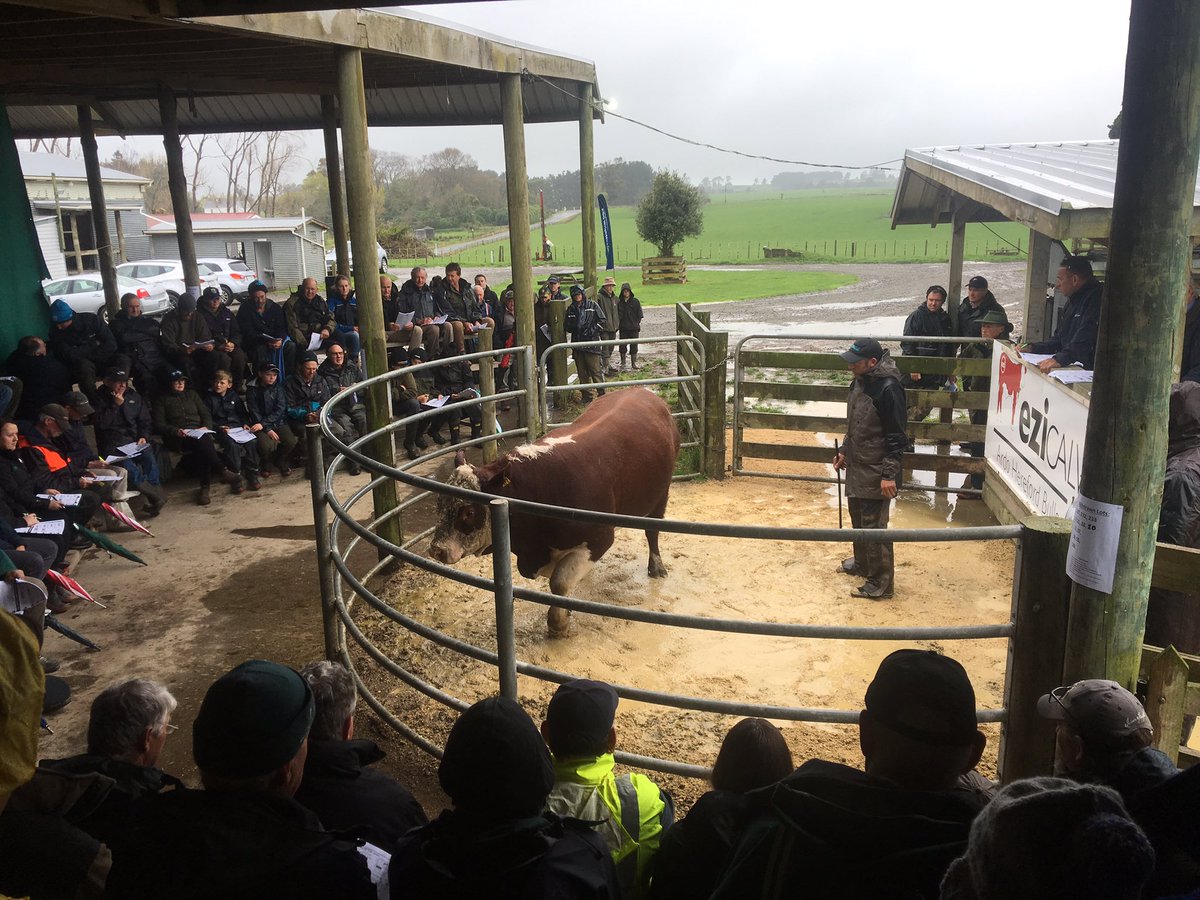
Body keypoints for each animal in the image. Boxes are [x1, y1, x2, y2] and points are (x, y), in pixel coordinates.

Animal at [428, 388, 680, 636]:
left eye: (468, 512)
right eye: (439, 503)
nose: (436, 550)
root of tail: (644, 391)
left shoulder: (599, 539)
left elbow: (559, 583)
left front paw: (558, 624)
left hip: (660, 495)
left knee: (652, 532)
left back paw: (656, 567)